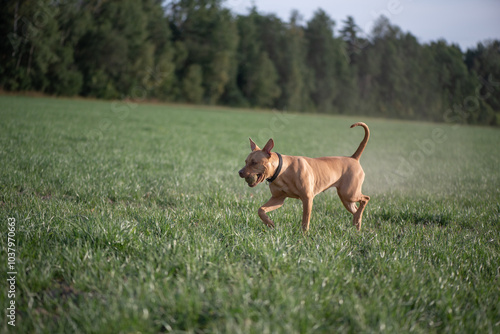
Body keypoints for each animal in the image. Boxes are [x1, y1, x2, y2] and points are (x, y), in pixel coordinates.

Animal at [238, 122, 372, 232]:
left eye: (254, 162)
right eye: (246, 161)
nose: (240, 172)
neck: (282, 171)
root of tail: (353, 158)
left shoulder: (308, 199)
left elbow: (305, 220)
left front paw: (304, 235)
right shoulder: (278, 199)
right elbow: (260, 210)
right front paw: (269, 223)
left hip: (349, 193)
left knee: (365, 199)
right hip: (346, 199)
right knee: (356, 209)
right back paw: (356, 224)